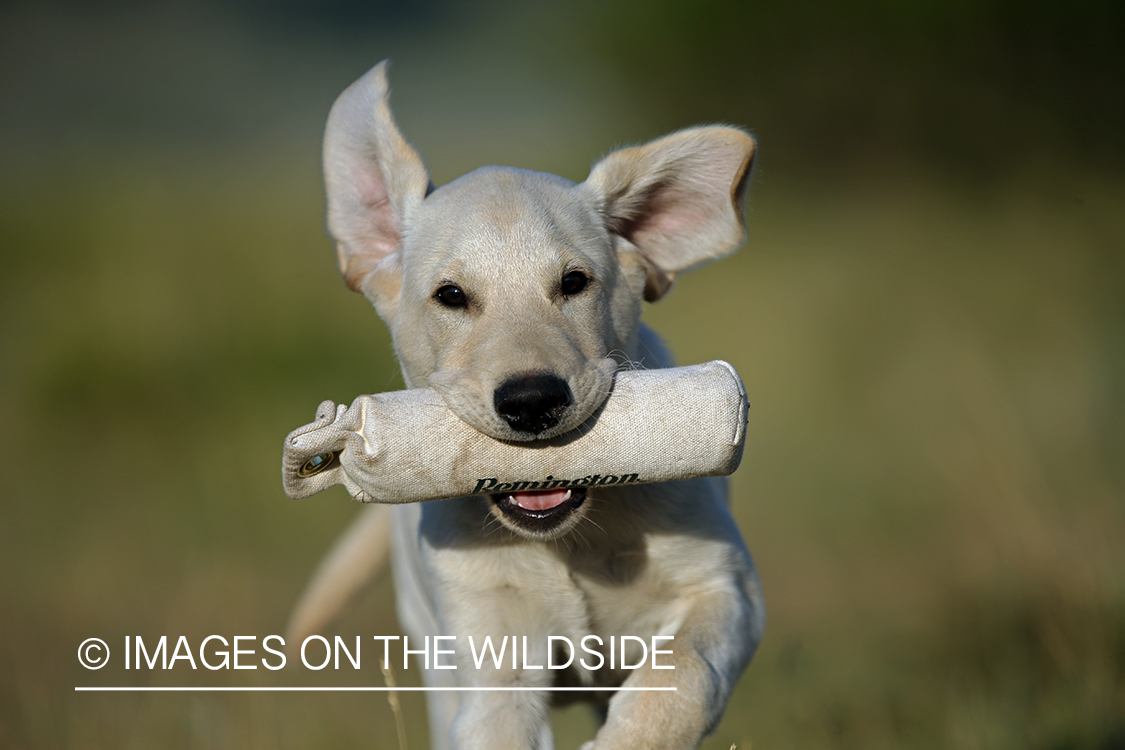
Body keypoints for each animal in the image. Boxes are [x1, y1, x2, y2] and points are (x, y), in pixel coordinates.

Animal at [290, 60, 765, 750]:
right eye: (451, 295)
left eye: (574, 283)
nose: (532, 400)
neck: (568, 547)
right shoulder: (491, 654)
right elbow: (499, 724)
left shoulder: (725, 590)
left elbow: (679, 677)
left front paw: (627, 739)